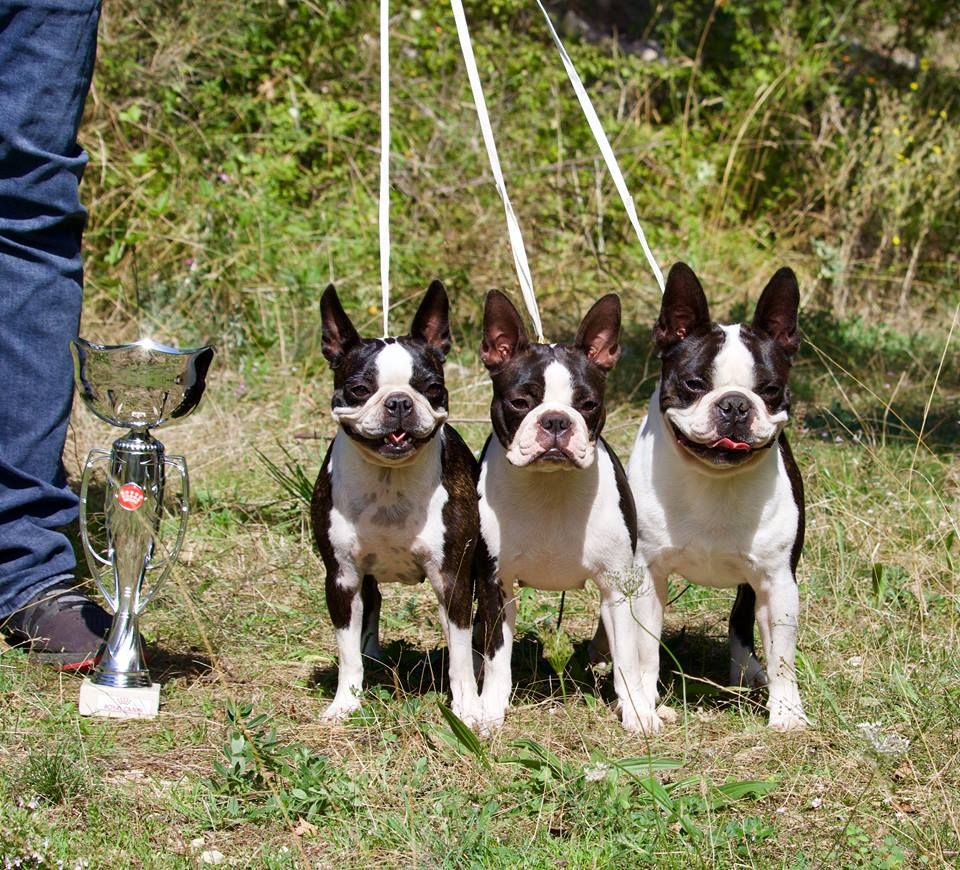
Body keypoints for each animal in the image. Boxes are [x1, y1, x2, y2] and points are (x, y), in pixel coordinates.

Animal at [312, 286, 484, 728]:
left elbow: (459, 653)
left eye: (432, 387)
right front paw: (346, 702)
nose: (400, 402)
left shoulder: (453, 578)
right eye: (359, 389)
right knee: (372, 606)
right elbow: (346, 651)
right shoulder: (341, 578)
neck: (389, 479)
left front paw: (467, 707)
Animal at [470, 292, 644, 736]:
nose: (555, 421)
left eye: (588, 404)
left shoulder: (617, 585)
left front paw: (639, 713)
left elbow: (628, 657)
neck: (549, 486)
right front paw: (489, 711)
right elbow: (497, 657)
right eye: (520, 402)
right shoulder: (496, 584)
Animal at [624, 262, 808, 732]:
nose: (736, 405)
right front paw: (643, 704)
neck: (714, 480)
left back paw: (747, 671)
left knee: (741, 620)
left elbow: (782, 655)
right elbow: (645, 648)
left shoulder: (778, 581)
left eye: (770, 390)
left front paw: (787, 713)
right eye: (693, 384)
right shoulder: (647, 575)